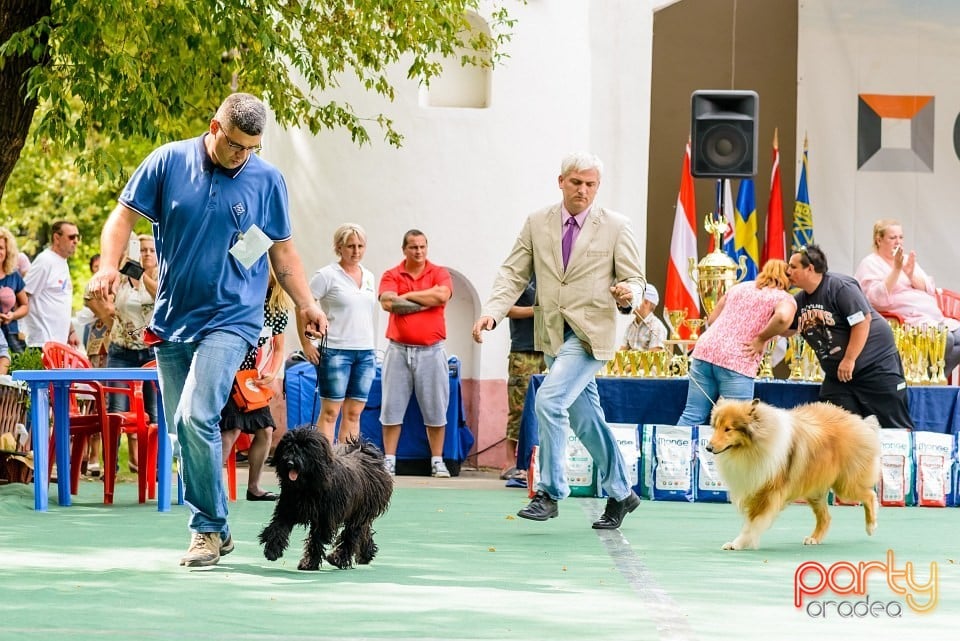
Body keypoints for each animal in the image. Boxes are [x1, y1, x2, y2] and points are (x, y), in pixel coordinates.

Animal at [256, 424, 392, 568]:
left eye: (305, 449)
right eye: (287, 446)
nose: (290, 463)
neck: (307, 487)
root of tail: (365, 452)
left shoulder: (324, 519)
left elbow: (316, 540)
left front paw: (309, 563)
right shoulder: (288, 508)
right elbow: (277, 528)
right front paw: (272, 550)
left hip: (360, 511)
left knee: (351, 535)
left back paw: (338, 559)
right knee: (363, 532)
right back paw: (367, 554)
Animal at [704, 398, 876, 548]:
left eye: (728, 429)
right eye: (716, 427)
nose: (708, 448)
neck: (753, 447)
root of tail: (856, 419)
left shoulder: (767, 493)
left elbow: (752, 523)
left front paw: (738, 543)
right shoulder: (754, 487)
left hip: (845, 485)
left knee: (870, 496)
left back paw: (871, 527)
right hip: (815, 490)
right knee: (826, 517)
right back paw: (814, 539)